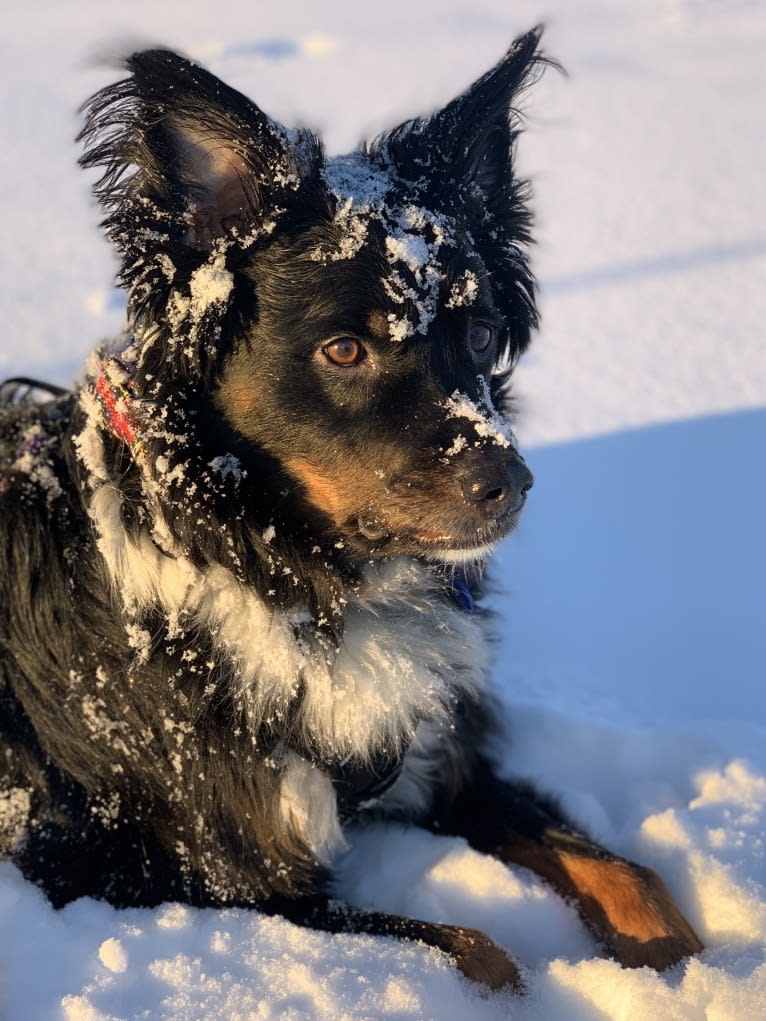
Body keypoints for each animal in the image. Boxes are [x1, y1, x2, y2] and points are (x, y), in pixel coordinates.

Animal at [0, 29, 706, 988]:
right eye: (343, 349)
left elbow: (630, 873)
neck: (296, 584)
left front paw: (694, 970)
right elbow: (479, 948)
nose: (512, 481)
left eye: (480, 334)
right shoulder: (198, 874)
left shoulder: (438, 753)